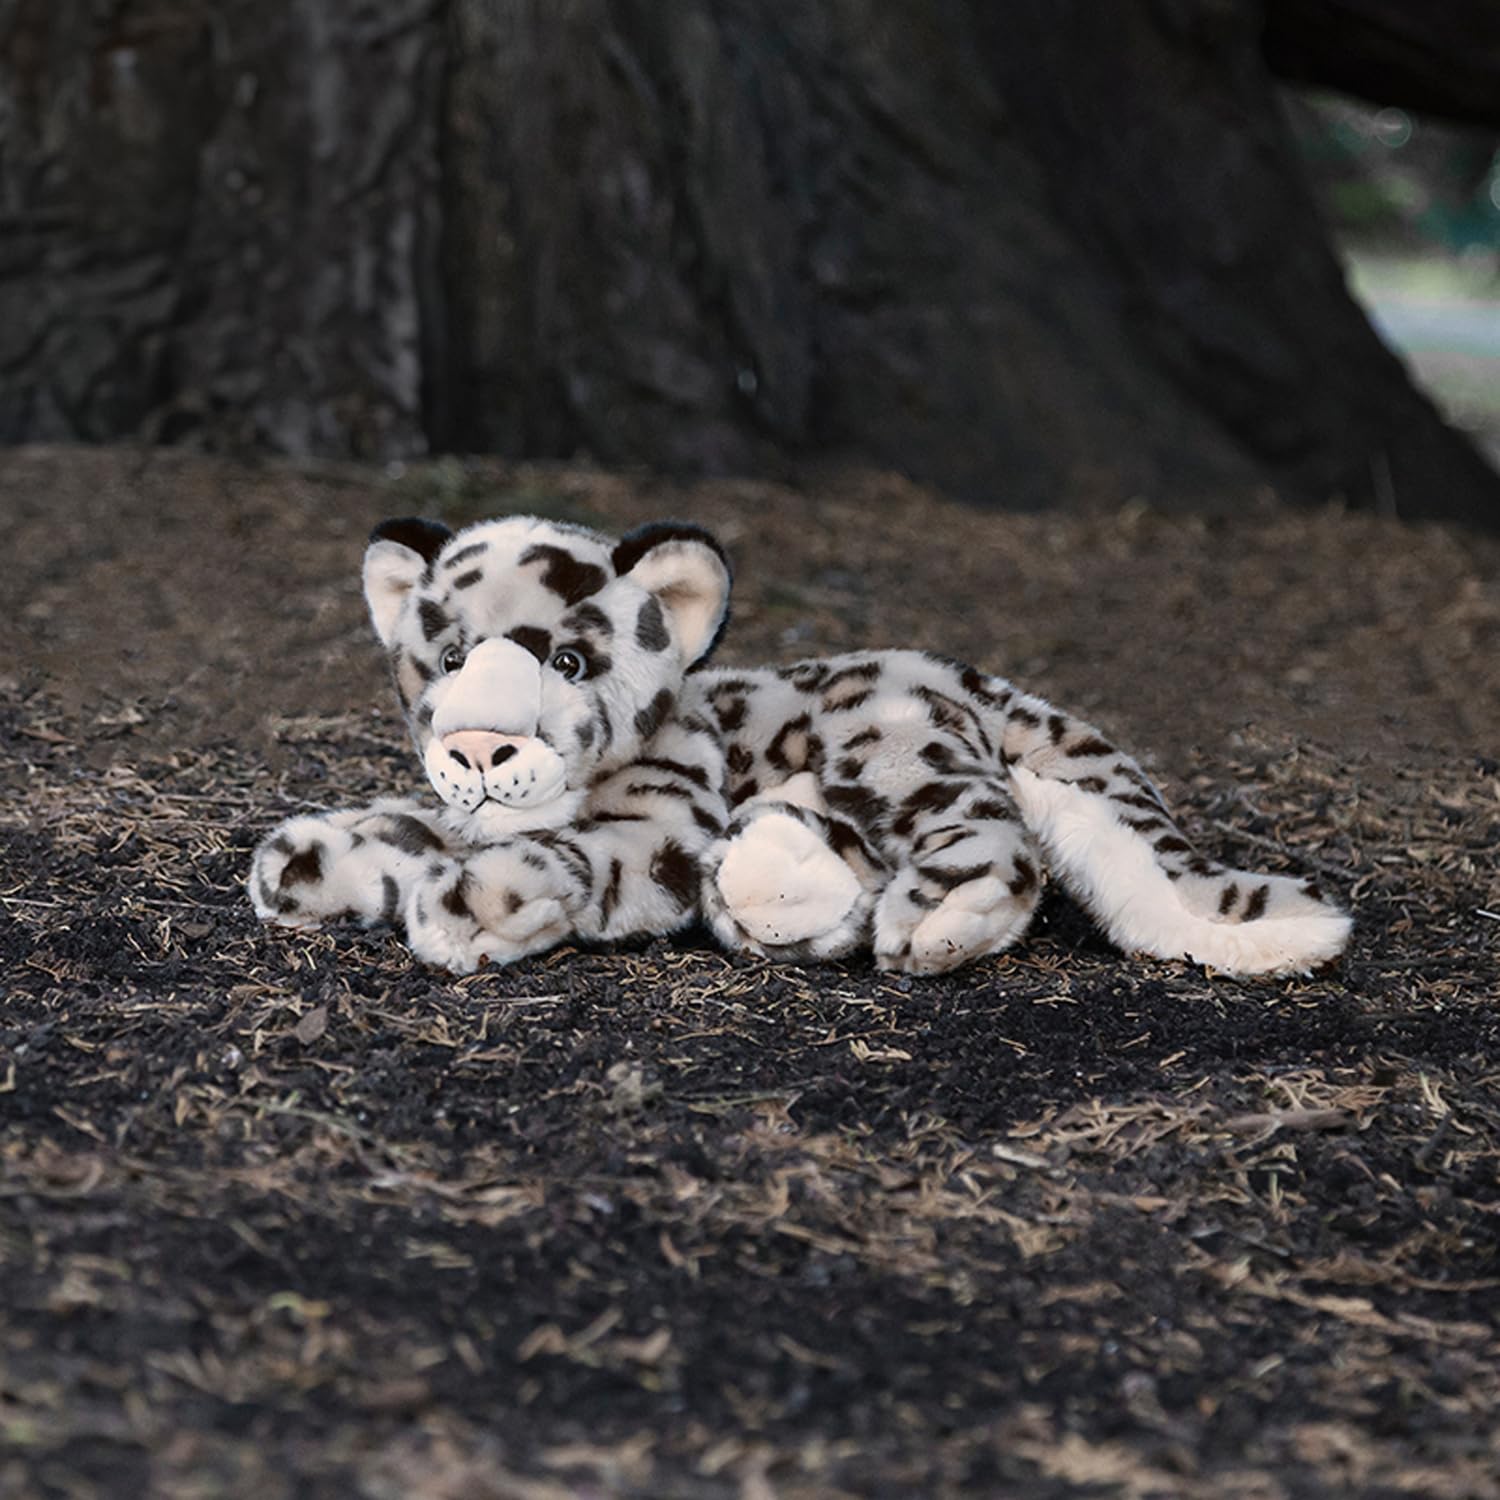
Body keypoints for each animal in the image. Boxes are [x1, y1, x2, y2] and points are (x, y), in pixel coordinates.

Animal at [249, 513, 1352, 977]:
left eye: (567, 659)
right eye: (444, 657)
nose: (478, 746)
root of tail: (966, 675)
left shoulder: (660, 826)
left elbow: (571, 857)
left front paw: (478, 905)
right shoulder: (453, 809)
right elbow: (408, 824)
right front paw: (305, 862)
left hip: (898, 753)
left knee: (993, 839)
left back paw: (940, 917)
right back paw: (786, 871)